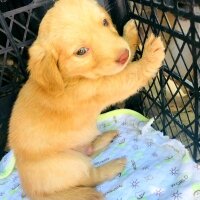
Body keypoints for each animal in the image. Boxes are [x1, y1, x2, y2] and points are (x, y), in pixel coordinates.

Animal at [8, 0, 165, 200]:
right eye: (81, 51)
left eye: (105, 22)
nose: (123, 55)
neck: (69, 78)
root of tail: (33, 193)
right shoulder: (106, 86)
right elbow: (134, 72)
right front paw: (152, 53)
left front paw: (130, 32)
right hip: (71, 163)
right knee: (92, 178)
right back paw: (113, 166)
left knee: (90, 153)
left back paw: (105, 137)